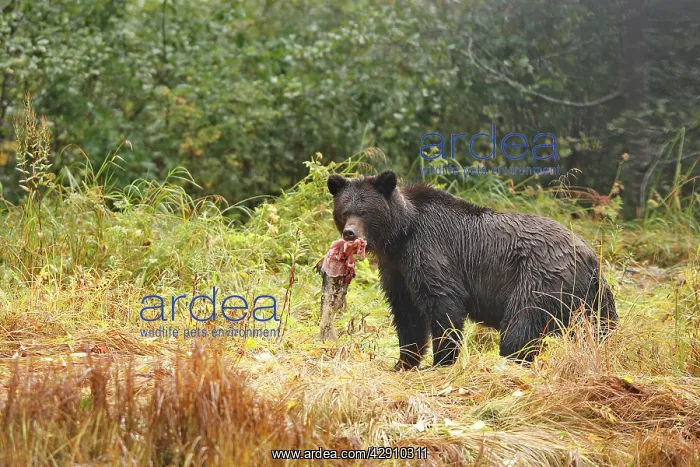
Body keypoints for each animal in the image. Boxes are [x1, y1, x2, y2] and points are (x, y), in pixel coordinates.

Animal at [327, 170, 617, 370]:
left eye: (364, 211)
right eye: (344, 210)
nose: (350, 233)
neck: (400, 235)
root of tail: (592, 257)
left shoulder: (429, 252)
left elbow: (444, 304)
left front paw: (441, 361)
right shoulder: (397, 271)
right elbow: (407, 315)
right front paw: (403, 362)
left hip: (540, 279)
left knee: (520, 324)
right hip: (590, 300)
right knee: (599, 328)